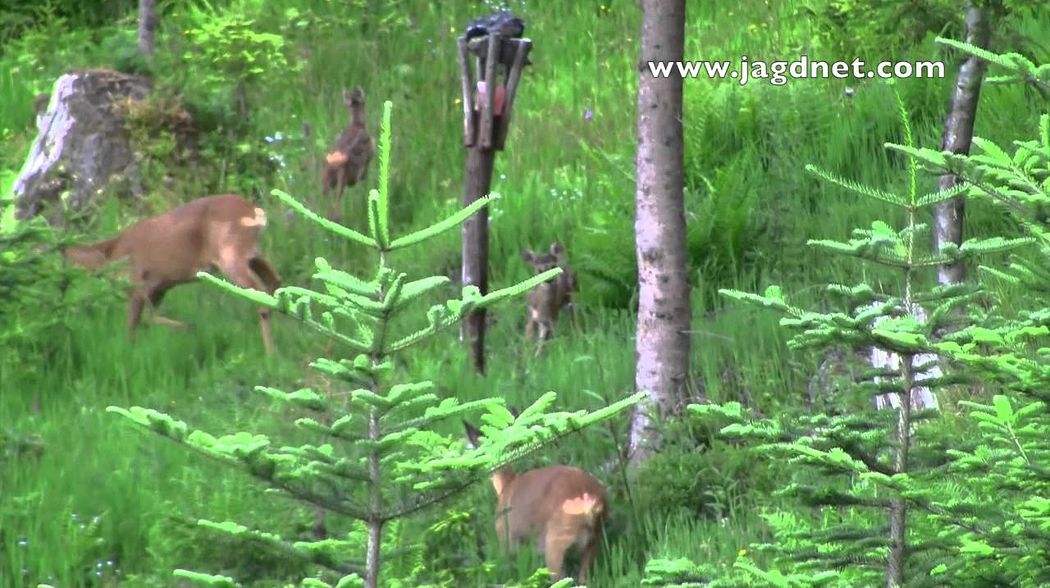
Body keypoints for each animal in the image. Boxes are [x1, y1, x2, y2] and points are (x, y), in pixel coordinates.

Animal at [62, 194, 283, 352]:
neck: (109, 254)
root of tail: (254, 212)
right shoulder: (160, 287)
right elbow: (148, 318)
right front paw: (185, 328)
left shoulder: (136, 285)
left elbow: (133, 325)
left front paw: (129, 354)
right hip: (253, 254)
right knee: (275, 281)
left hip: (230, 254)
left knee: (260, 294)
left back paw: (271, 354)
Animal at [321, 87, 375, 222]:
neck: (357, 124)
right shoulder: (368, 159)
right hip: (343, 176)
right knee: (337, 198)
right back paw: (337, 218)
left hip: (326, 178)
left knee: (326, 196)